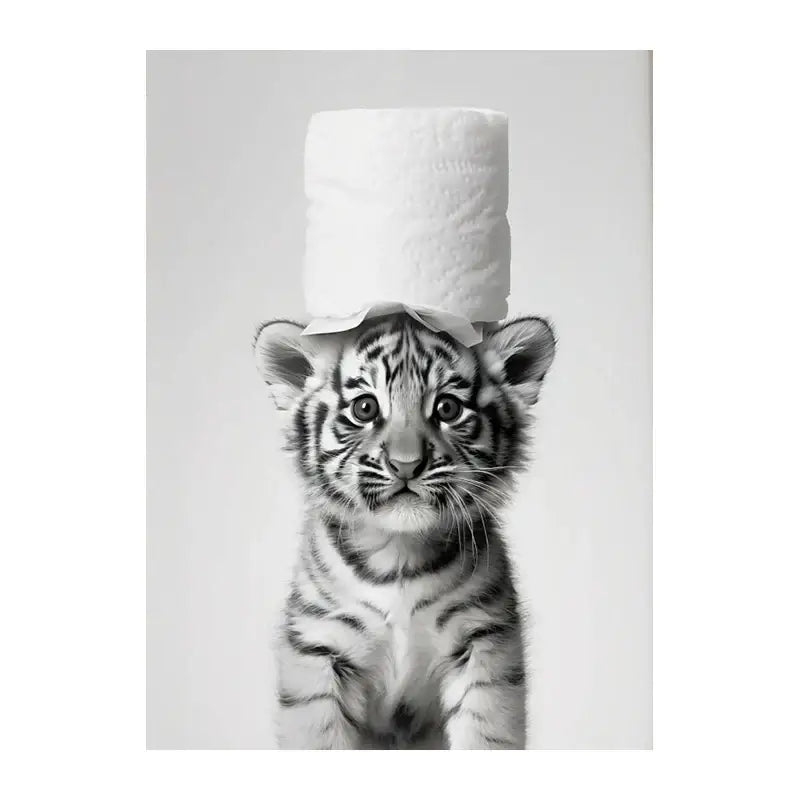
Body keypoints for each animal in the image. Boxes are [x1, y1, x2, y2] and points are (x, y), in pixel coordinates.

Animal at [253, 312, 556, 749]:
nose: (406, 464)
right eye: (365, 408)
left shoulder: (485, 644)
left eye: (448, 408)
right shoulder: (319, 648)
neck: (398, 553)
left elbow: (485, 735)